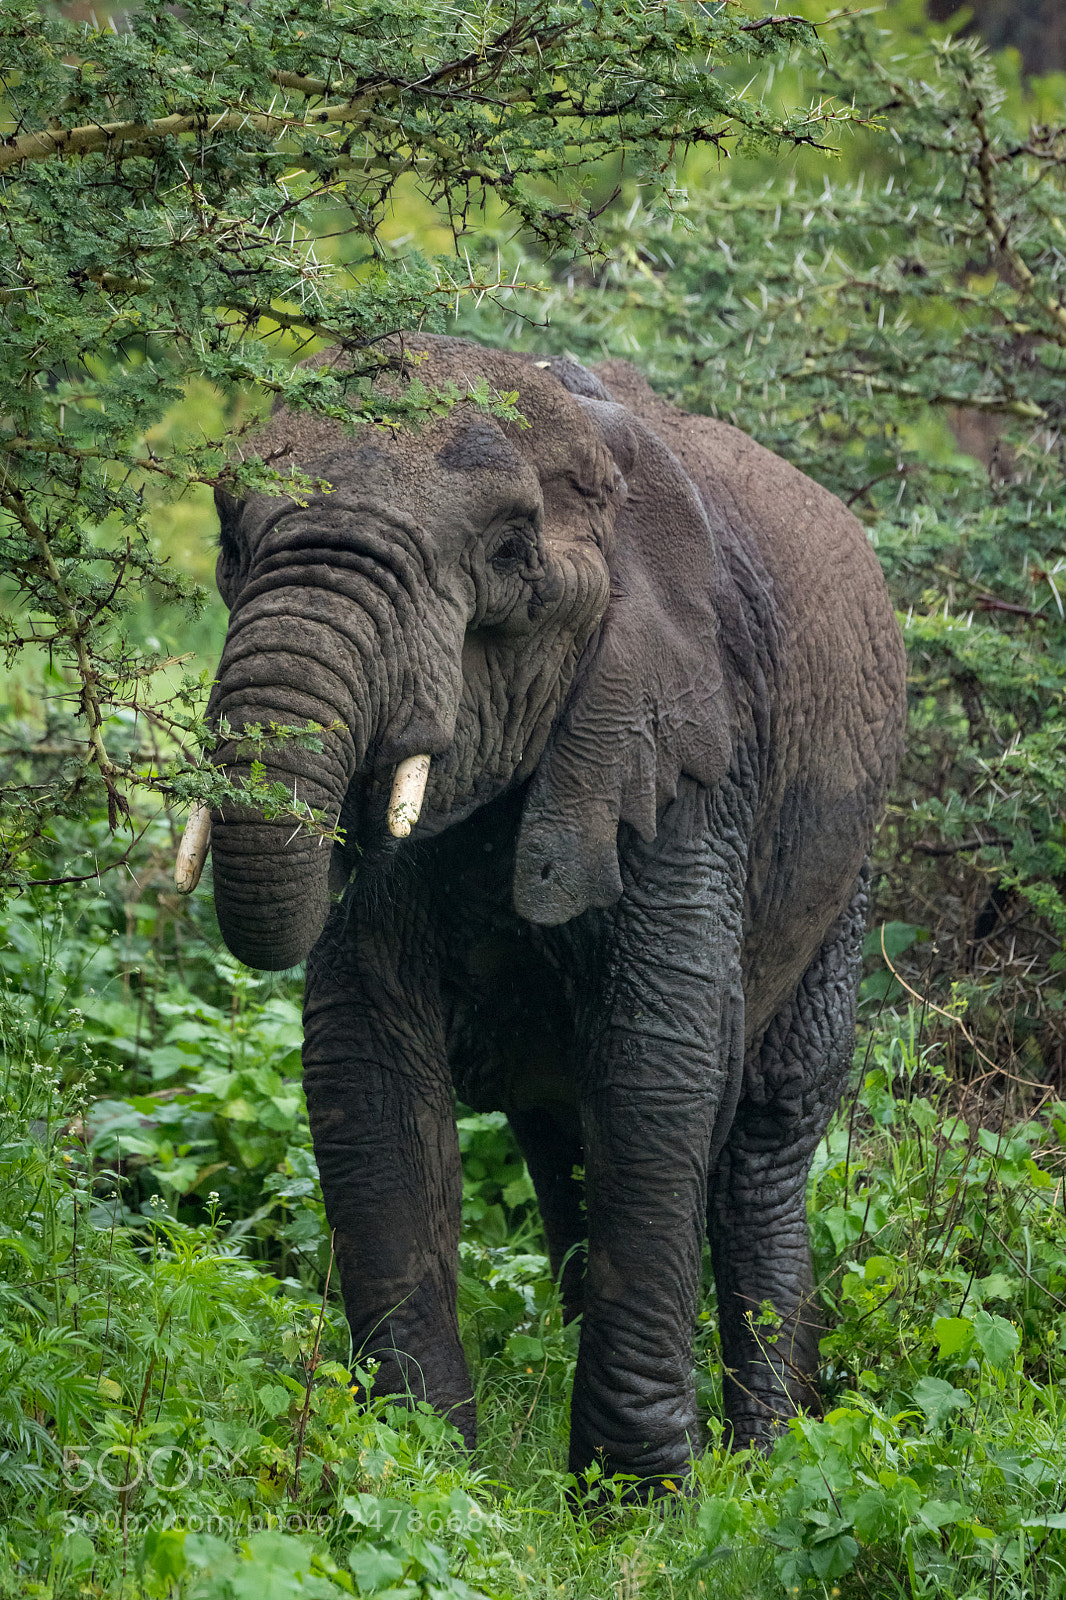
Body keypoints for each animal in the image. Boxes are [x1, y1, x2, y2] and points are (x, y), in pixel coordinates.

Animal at [196, 336, 906, 1488]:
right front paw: (419, 1472)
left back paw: (770, 1461)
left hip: (845, 873)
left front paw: (634, 1497)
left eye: (508, 551)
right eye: (230, 537)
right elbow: (365, 1061)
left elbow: (662, 1067)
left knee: (763, 1139)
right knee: (568, 1139)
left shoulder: (691, 749)